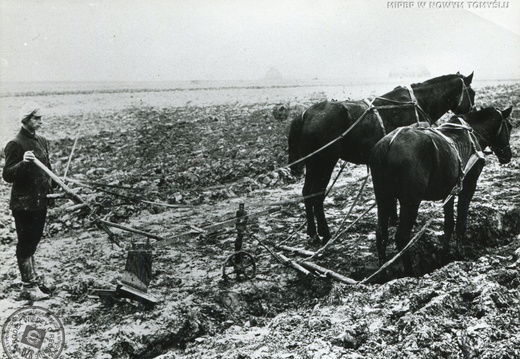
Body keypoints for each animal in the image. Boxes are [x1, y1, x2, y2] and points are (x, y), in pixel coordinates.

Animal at [288, 72, 476, 245]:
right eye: (472, 93)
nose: (471, 114)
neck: (417, 103)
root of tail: (306, 114)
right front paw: (395, 218)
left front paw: (393, 217)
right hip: (325, 162)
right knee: (317, 195)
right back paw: (325, 233)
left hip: (313, 163)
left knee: (307, 192)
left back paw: (312, 232)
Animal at [372, 107, 512, 276]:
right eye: (510, 127)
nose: (507, 156)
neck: (470, 133)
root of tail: (389, 144)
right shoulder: (468, 187)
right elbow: (461, 223)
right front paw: (460, 254)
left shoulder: (449, 191)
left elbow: (448, 224)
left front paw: (445, 256)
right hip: (411, 201)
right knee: (402, 237)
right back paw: (409, 271)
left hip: (383, 197)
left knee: (381, 234)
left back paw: (382, 272)